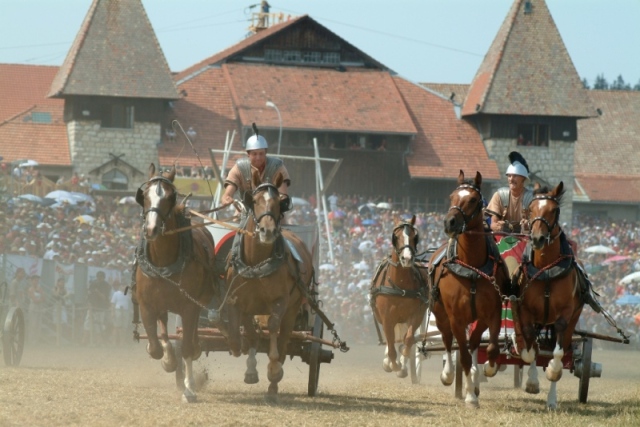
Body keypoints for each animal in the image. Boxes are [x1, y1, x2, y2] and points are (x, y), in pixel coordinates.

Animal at [134, 162, 216, 402]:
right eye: (144, 196)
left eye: (171, 197)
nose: (151, 229)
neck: (164, 261)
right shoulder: (146, 305)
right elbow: (155, 345)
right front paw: (167, 360)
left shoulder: (189, 306)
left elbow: (187, 346)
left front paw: (188, 388)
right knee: (164, 329)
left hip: (197, 303)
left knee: (192, 335)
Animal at [225, 168, 316, 398]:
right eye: (255, 200)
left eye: (279, 202)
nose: (267, 231)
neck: (256, 262)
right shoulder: (241, 302)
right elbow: (245, 335)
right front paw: (249, 368)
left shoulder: (280, 301)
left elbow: (274, 328)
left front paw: (274, 370)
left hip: (293, 308)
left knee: (284, 339)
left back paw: (274, 384)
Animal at [368, 217, 428, 378]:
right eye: (396, 236)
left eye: (415, 236)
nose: (406, 258)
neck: (400, 285)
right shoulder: (387, 318)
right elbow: (390, 342)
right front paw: (391, 363)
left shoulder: (417, 315)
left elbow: (408, 339)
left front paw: (402, 364)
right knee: (391, 339)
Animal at [430, 171, 510, 408]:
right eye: (452, 196)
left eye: (473, 199)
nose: (450, 222)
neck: (472, 267)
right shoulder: (456, 317)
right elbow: (462, 354)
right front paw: (470, 398)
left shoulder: (491, 314)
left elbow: (490, 348)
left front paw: (488, 370)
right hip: (441, 314)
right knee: (448, 341)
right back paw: (449, 375)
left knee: (474, 342)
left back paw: (474, 379)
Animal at [512, 182, 584, 410]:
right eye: (530, 210)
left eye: (554, 210)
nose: (537, 238)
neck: (546, 270)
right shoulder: (526, 311)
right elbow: (530, 350)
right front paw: (532, 382)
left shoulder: (565, 314)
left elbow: (557, 354)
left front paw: (553, 372)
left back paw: (552, 399)